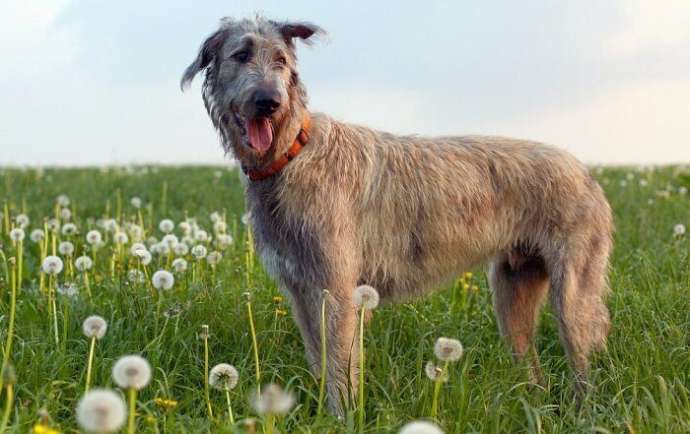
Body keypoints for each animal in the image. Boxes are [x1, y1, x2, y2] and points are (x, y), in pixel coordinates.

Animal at [180, 17, 612, 416]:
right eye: (241, 55)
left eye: (281, 60)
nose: (269, 101)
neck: (291, 155)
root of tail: (585, 171)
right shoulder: (301, 291)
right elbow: (320, 361)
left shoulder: (338, 291)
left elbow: (340, 370)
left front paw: (341, 418)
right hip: (512, 290)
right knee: (533, 368)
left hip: (573, 294)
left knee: (582, 360)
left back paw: (583, 412)